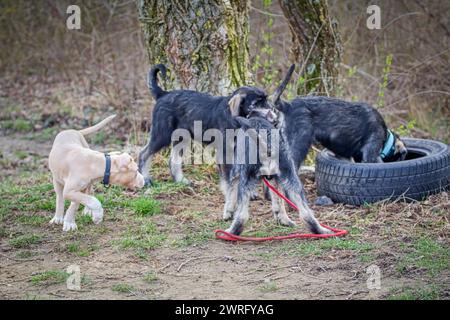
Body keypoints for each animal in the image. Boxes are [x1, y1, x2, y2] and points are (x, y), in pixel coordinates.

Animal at [139, 64, 280, 186]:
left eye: (265, 100)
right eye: (255, 104)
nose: (275, 119)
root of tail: (163, 94)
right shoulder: (226, 151)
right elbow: (229, 175)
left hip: (181, 138)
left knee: (173, 159)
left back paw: (181, 181)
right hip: (162, 134)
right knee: (144, 153)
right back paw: (145, 179)